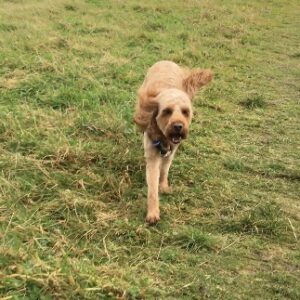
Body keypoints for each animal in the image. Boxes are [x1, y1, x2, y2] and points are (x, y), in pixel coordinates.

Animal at [134, 61, 213, 224]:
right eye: (167, 111)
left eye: (185, 112)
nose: (178, 126)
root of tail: (166, 61)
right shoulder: (152, 155)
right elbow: (152, 188)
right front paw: (153, 212)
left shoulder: (172, 151)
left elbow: (164, 169)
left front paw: (163, 185)